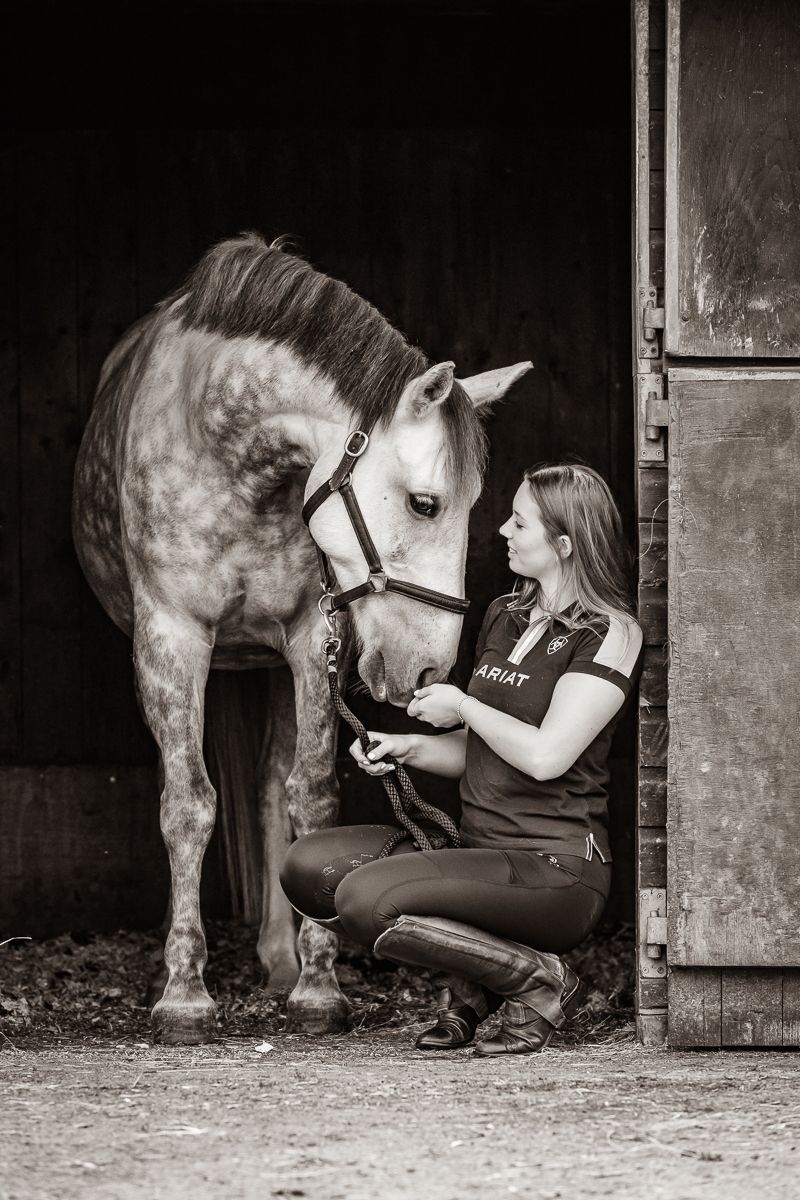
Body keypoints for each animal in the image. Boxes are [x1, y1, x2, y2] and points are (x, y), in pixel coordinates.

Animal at [72, 233, 532, 1044]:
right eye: (425, 502)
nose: (427, 672)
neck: (226, 449)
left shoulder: (312, 635)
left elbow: (308, 796)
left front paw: (318, 986)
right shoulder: (171, 638)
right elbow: (186, 804)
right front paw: (183, 994)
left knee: (266, 789)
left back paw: (280, 960)